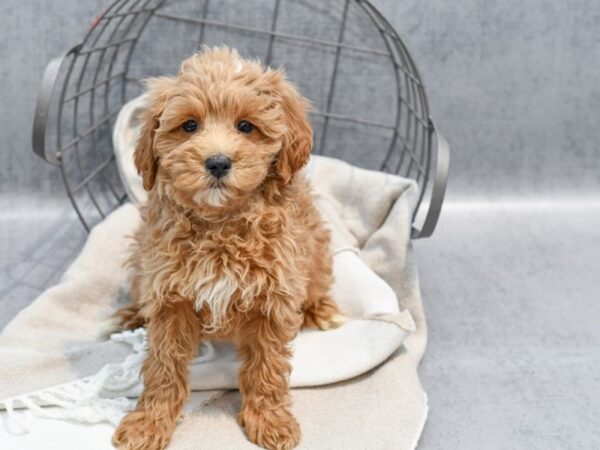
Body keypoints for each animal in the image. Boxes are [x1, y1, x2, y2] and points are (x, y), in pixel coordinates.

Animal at [113, 46, 344, 450]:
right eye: (190, 126)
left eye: (246, 127)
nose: (218, 162)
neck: (221, 224)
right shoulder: (170, 297)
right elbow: (162, 365)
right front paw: (149, 422)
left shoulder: (273, 298)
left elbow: (266, 367)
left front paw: (270, 420)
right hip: (142, 264)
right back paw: (132, 313)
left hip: (314, 252)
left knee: (317, 283)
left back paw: (322, 310)